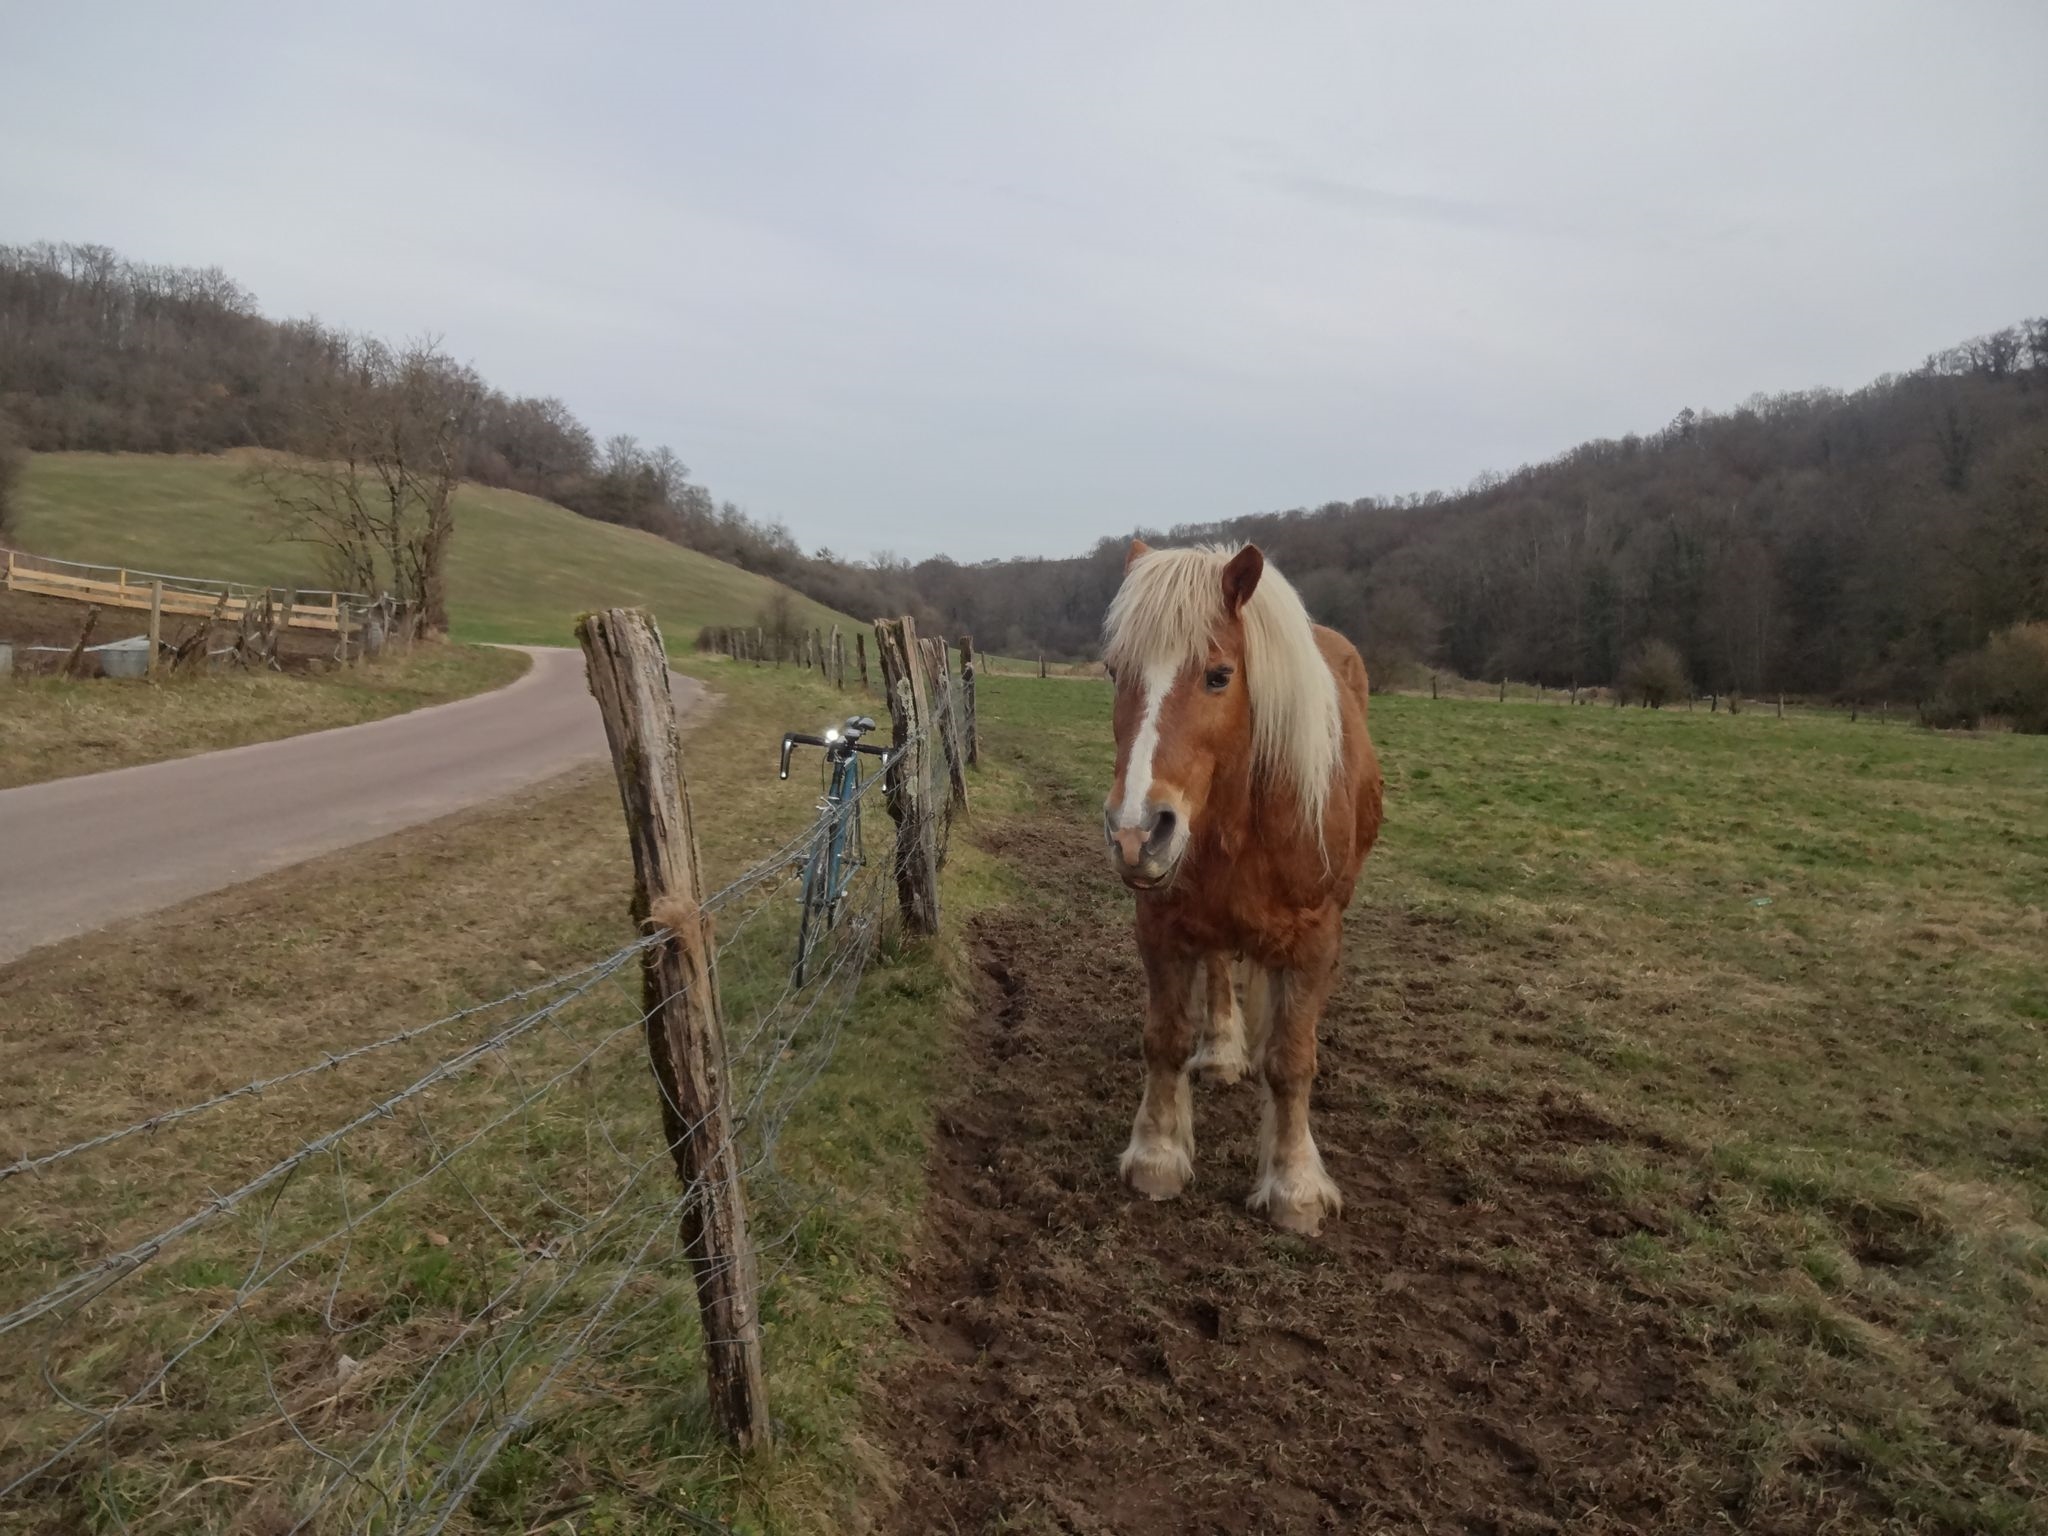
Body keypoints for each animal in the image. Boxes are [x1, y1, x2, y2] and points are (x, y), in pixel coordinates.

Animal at [1101, 540, 1383, 1236]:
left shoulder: (1313, 939)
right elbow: (1165, 1039)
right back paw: (1224, 1051)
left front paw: (1294, 1187)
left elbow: (1292, 1060)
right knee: (1218, 972)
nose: (1134, 833)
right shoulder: (1161, 922)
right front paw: (1158, 1154)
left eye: (1219, 675)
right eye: (1114, 672)